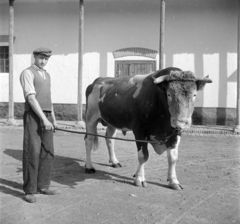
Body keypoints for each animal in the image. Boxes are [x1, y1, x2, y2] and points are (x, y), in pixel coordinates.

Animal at [84, 67, 212, 190]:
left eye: (194, 95)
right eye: (169, 94)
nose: (182, 121)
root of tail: (98, 80)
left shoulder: (175, 133)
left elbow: (173, 158)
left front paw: (173, 181)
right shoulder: (140, 131)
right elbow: (143, 156)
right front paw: (139, 179)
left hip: (112, 121)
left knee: (109, 139)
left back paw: (114, 161)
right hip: (90, 117)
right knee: (88, 140)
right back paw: (89, 166)